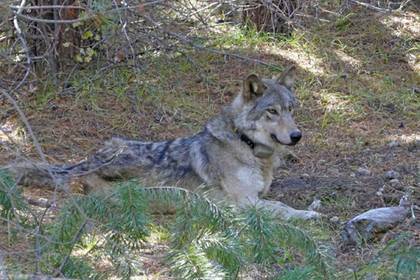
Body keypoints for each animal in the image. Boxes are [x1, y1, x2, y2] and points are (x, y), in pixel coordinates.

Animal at [10, 66, 322, 220]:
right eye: (273, 112)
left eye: (291, 109)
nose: (297, 135)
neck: (247, 146)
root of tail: (84, 161)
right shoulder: (245, 202)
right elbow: (282, 209)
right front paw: (307, 214)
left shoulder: (257, 195)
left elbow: (277, 201)